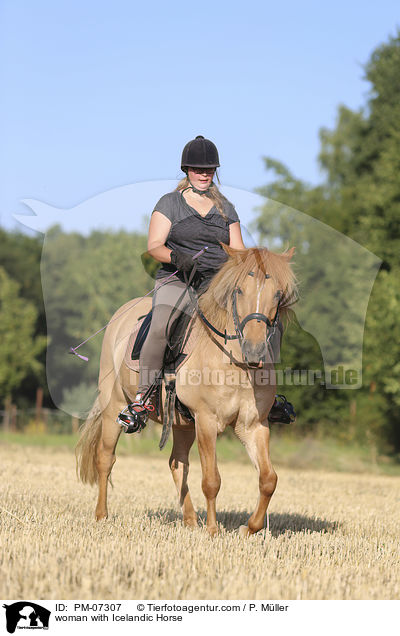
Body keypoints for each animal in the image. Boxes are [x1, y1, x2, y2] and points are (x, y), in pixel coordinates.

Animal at [75, 243, 296, 536]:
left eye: (278, 294)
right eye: (238, 290)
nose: (254, 350)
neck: (234, 362)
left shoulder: (252, 425)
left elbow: (269, 478)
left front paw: (249, 528)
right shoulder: (206, 420)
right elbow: (212, 480)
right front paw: (213, 530)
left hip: (182, 424)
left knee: (177, 463)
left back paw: (190, 520)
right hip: (115, 407)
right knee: (105, 458)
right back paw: (101, 515)